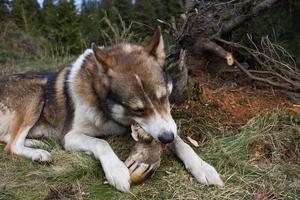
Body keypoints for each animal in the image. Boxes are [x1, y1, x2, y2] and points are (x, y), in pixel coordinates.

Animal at [0, 28, 223, 192]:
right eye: (138, 110)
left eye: (163, 97)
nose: (166, 138)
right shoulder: (70, 136)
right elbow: (101, 143)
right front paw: (116, 170)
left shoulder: (165, 125)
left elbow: (181, 142)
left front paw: (202, 166)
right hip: (36, 93)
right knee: (11, 145)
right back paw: (39, 153)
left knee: (8, 139)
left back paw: (36, 143)